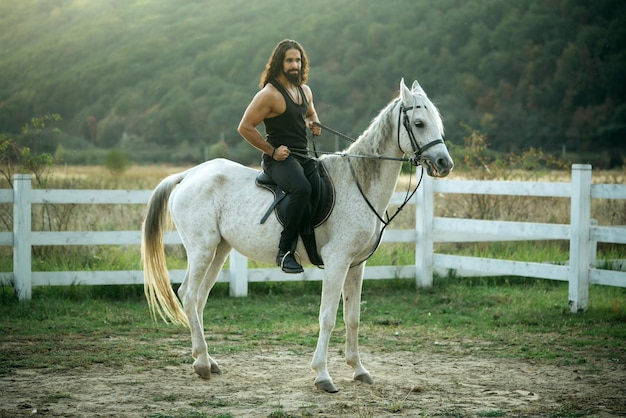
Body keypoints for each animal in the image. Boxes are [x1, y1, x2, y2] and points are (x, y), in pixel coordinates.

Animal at [142, 78, 454, 392]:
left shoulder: (356, 265)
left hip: (219, 250)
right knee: (188, 294)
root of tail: (189, 175)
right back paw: (203, 364)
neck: (357, 183)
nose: (444, 163)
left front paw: (358, 369)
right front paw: (323, 375)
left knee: (199, 298)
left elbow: (353, 318)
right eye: (418, 123)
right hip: (202, 249)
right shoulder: (337, 262)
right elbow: (328, 318)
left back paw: (207, 360)